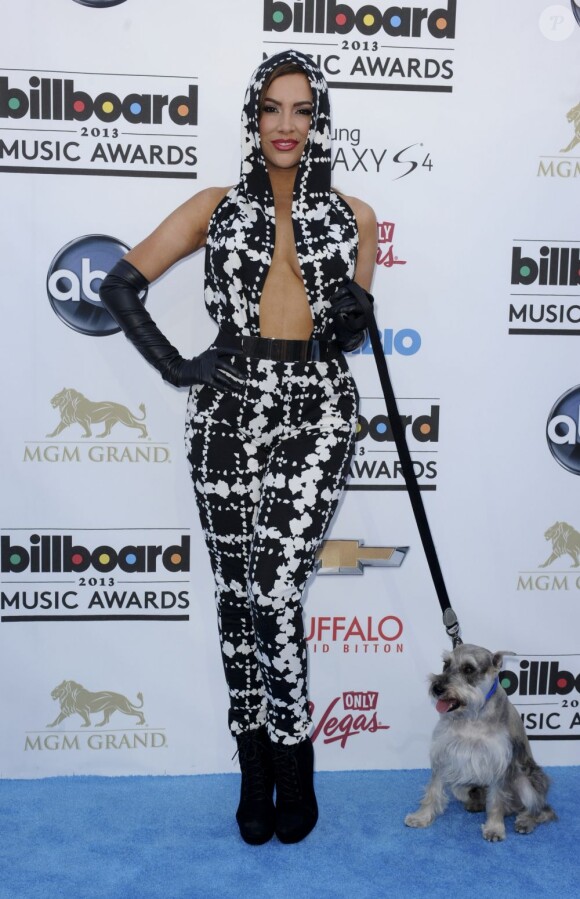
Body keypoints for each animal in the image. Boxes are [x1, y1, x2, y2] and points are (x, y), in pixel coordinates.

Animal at [404, 644, 556, 840]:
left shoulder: (499, 762)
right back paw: (476, 804)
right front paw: (421, 816)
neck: (472, 714)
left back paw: (525, 821)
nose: (437, 688)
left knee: (542, 809)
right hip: (461, 786)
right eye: (446, 664)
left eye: (468, 669)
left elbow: (496, 800)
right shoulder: (443, 754)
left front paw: (494, 828)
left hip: (525, 781)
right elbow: (433, 790)